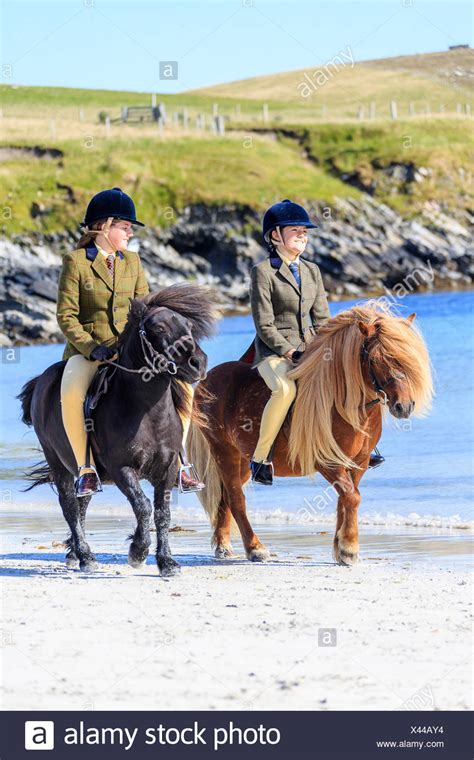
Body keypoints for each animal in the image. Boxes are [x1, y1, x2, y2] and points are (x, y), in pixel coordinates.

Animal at [188, 302, 434, 564]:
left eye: (408, 357)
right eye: (376, 359)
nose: (404, 406)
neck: (343, 402)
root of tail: (208, 378)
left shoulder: (358, 462)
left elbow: (347, 498)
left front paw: (341, 548)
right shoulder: (327, 461)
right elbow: (351, 497)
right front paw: (349, 549)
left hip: (243, 460)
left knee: (226, 496)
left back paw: (223, 546)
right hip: (224, 452)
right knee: (236, 499)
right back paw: (255, 548)